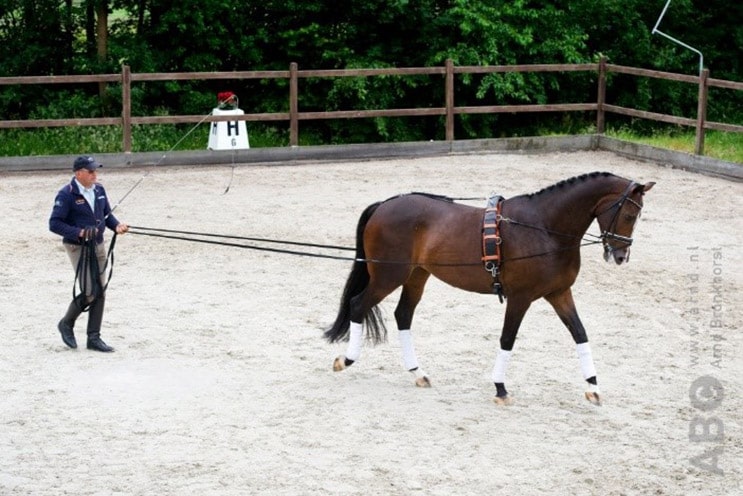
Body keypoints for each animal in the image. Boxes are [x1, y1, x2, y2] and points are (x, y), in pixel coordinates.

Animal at [326, 170, 656, 404]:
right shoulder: (521, 298)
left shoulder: (559, 293)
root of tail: (384, 205)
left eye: (638, 216)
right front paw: (500, 387)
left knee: (403, 315)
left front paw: (593, 387)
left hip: (416, 276)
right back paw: (346, 360)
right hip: (388, 276)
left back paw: (418, 373)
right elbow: (507, 339)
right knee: (358, 305)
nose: (621, 256)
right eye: (629, 214)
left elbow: (580, 333)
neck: (545, 228)